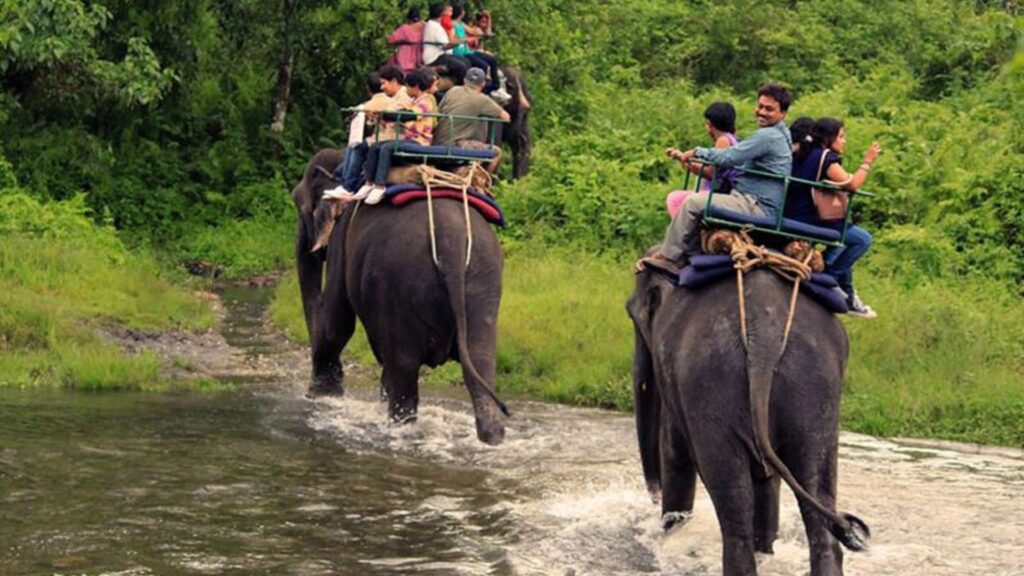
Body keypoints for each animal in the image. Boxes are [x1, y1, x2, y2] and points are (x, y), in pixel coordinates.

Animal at [292, 147, 507, 444]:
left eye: (298, 206)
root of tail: (452, 244)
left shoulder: (340, 242)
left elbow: (336, 321)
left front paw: (321, 397)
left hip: (401, 284)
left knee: (403, 366)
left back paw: (400, 429)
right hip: (483, 281)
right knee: (480, 362)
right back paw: (492, 438)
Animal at [626, 264, 868, 573]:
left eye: (632, 312)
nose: (654, 495)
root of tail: (764, 338)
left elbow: (675, 456)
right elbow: (768, 480)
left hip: (711, 387)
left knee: (733, 511)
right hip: (817, 388)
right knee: (817, 490)